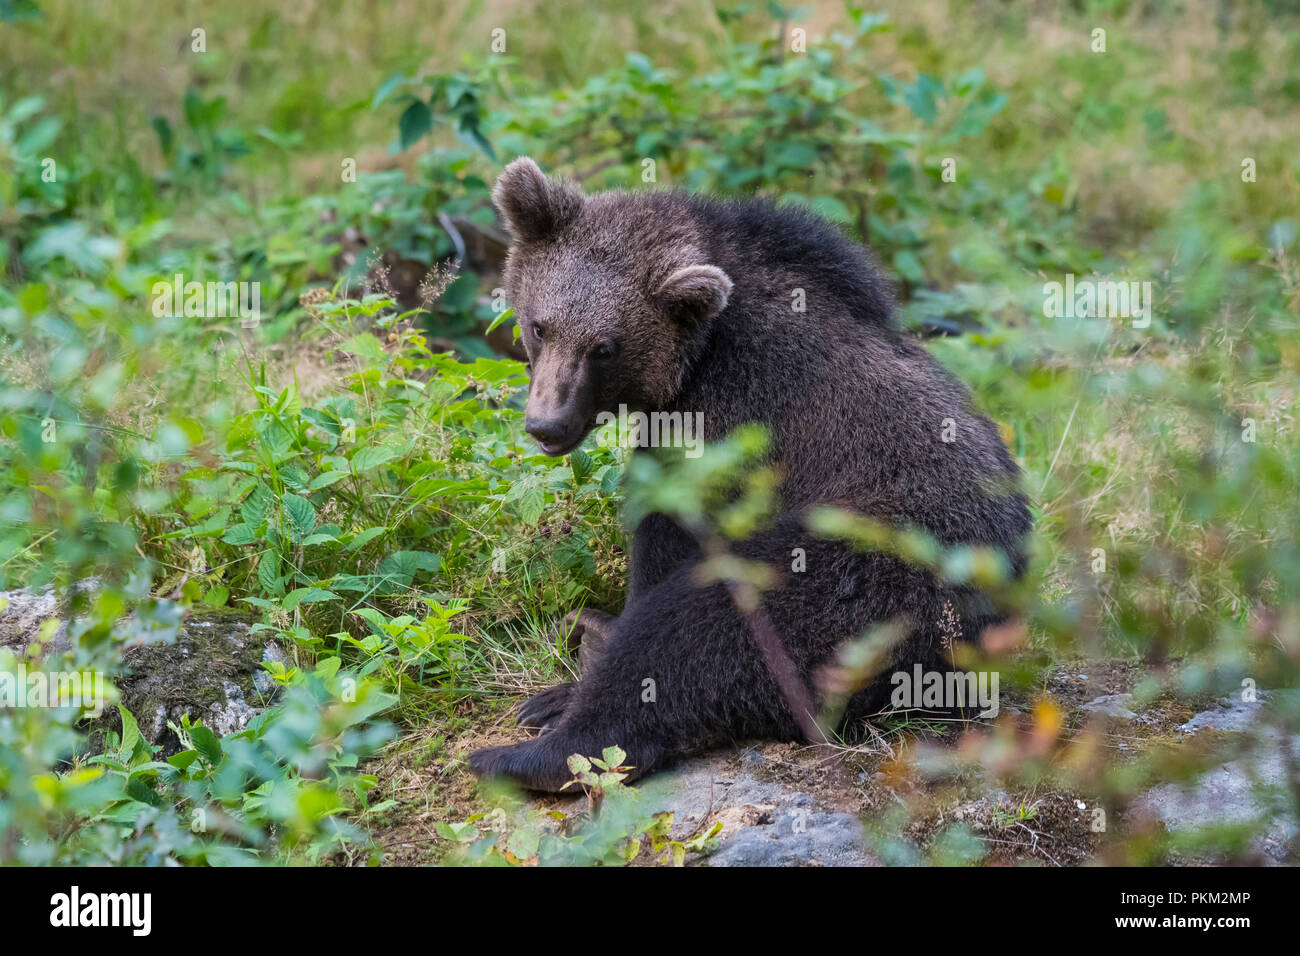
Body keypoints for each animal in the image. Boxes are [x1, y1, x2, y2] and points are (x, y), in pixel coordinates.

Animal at [469, 157, 1032, 792]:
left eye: (604, 347)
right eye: (541, 326)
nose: (547, 423)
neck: (698, 352)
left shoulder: (730, 420)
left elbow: (668, 542)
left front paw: (580, 665)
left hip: (867, 579)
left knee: (703, 630)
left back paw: (523, 754)